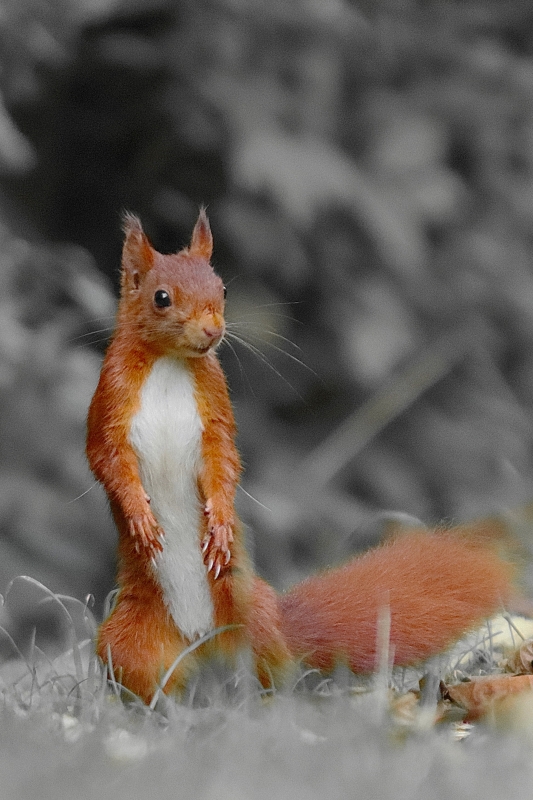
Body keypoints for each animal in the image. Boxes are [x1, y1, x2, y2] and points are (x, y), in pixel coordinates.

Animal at [87, 209, 516, 704]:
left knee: (274, 673)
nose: (213, 331)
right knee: (144, 675)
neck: (170, 365)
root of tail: (200, 641)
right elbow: (107, 459)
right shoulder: (110, 402)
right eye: (161, 298)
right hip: (130, 640)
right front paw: (139, 516)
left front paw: (221, 522)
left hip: (250, 615)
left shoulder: (214, 409)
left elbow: (223, 461)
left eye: (223, 289)